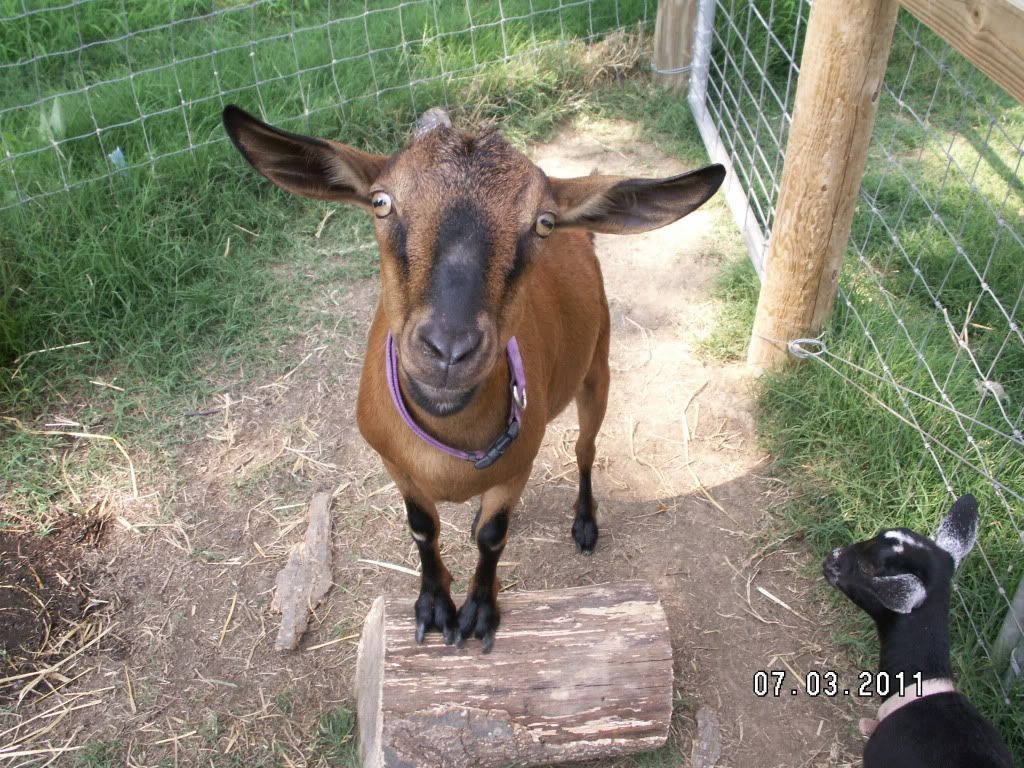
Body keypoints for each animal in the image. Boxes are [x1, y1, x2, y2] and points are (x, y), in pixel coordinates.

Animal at [223, 105, 724, 652]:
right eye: (381, 202)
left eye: (543, 223)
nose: (449, 349)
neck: (450, 447)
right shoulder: (396, 465)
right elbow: (422, 528)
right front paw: (434, 606)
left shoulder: (517, 463)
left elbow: (493, 536)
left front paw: (479, 612)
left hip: (598, 368)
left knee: (585, 449)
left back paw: (585, 523)